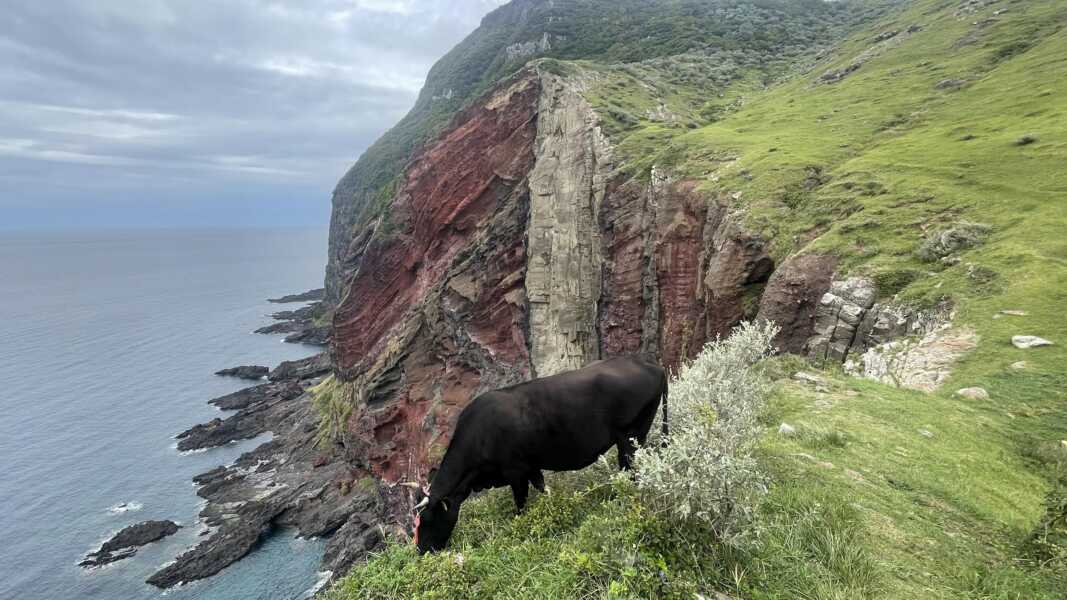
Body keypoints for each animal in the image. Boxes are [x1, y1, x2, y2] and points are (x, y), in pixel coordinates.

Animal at [409, 352, 665, 555]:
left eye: (426, 519)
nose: (421, 550)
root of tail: (650, 365)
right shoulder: (532, 467)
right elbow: (544, 490)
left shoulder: (515, 472)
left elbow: (521, 504)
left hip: (629, 436)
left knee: (630, 469)